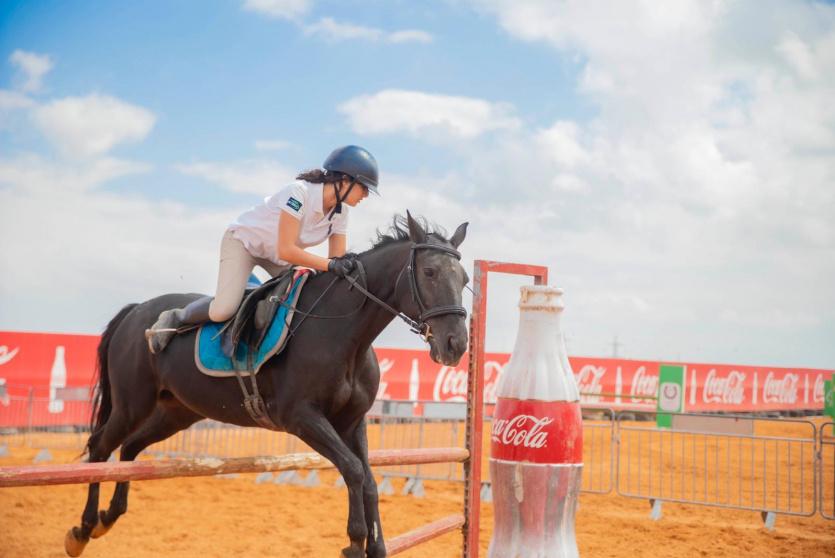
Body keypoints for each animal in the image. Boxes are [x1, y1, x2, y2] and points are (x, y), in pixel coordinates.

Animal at [65, 214, 470, 558]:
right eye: (430, 272)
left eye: (465, 279)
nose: (455, 345)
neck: (346, 333)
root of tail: (135, 311)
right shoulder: (301, 418)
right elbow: (354, 470)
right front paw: (355, 542)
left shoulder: (352, 422)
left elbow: (368, 478)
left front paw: (376, 545)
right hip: (132, 403)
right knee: (100, 447)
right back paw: (83, 529)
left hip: (175, 412)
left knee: (130, 448)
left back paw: (108, 518)